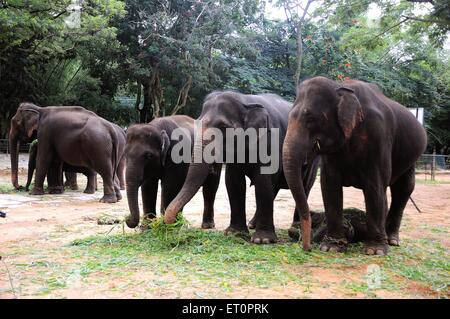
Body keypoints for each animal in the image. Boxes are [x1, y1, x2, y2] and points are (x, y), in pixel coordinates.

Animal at [163, 91, 318, 244]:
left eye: (223, 127)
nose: (175, 223)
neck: (244, 100)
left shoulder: (270, 141)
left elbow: (262, 181)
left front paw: (263, 240)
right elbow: (234, 182)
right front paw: (235, 234)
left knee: (304, 186)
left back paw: (295, 230)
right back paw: (253, 224)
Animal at [284, 76, 428, 256]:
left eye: (310, 118)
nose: (307, 248)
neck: (340, 87)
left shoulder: (378, 135)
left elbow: (375, 187)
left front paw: (374, 251)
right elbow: (329, 185)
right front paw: (331, 247)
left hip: (411, 158)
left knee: (403, 189)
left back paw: (392, 241)